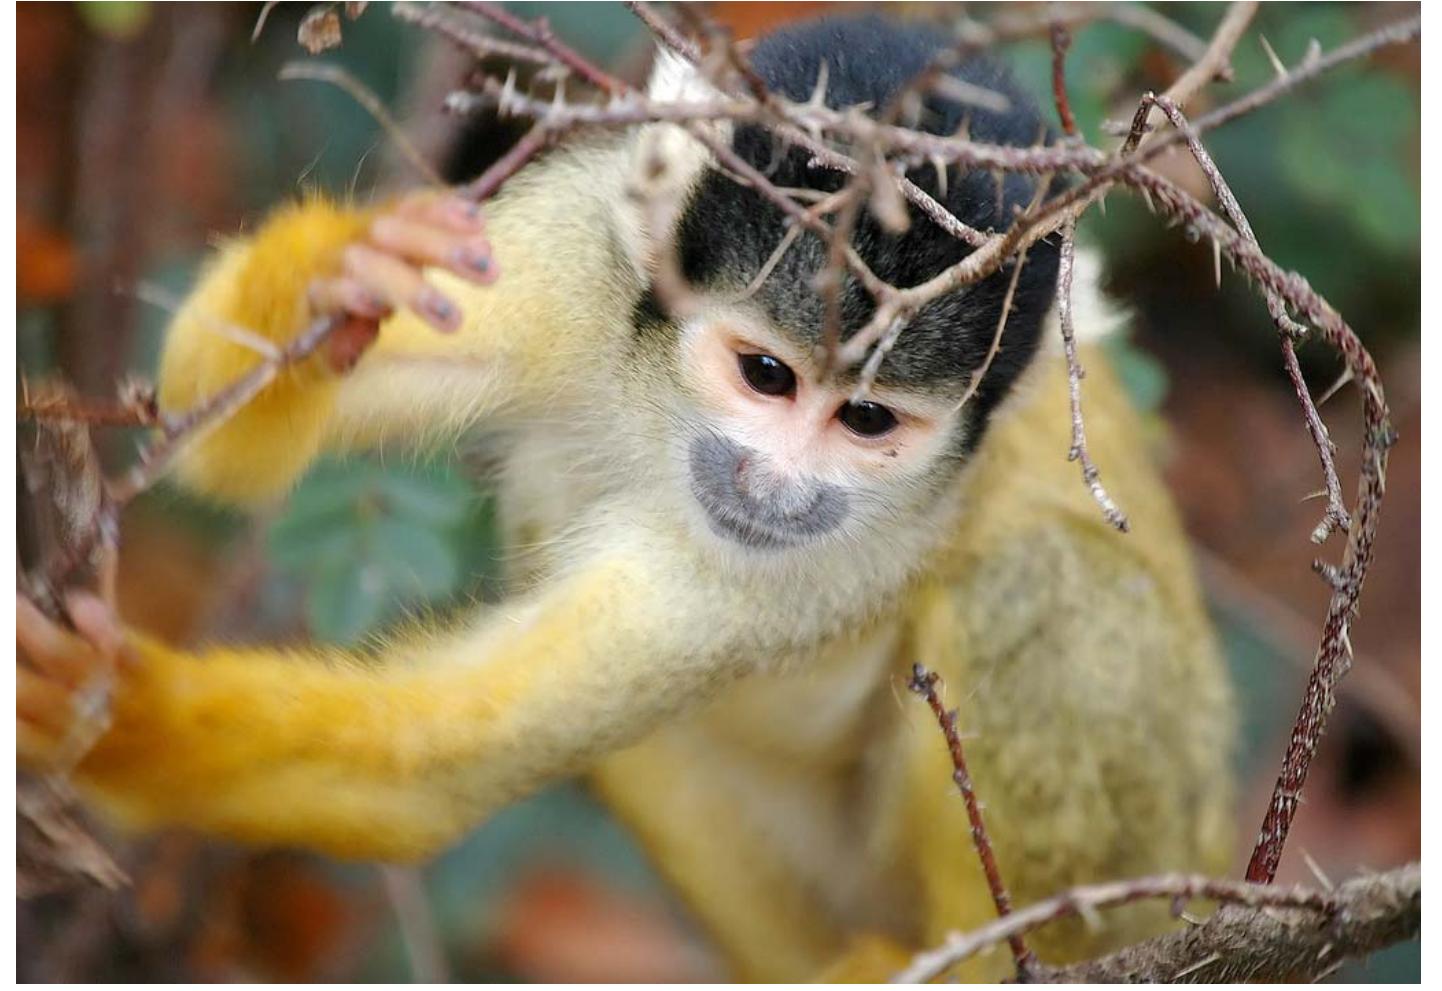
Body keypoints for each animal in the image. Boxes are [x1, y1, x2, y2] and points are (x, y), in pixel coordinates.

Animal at [17, 14, 1235, 982]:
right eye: (766, 376)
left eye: (867, 423)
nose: (774, 485)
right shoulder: (578, 254)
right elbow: (203, 424)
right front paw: (341, 273)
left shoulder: (799, 564)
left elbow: (428, 770)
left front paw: (117, 718)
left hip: (1155, 857)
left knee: (1042, 581)